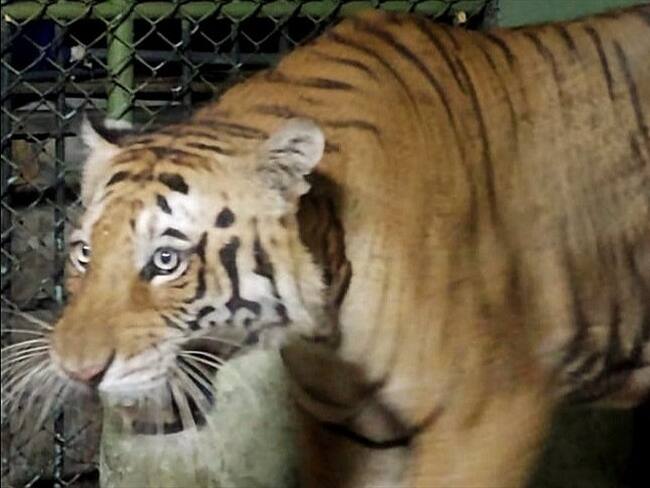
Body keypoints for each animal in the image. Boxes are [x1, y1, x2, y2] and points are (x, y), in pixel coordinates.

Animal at [2, 3, 649, 488]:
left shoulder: (488, 412)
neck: (326, 328)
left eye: (166, 260)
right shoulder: (353, 432)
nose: (78, 371)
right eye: (84, 253)